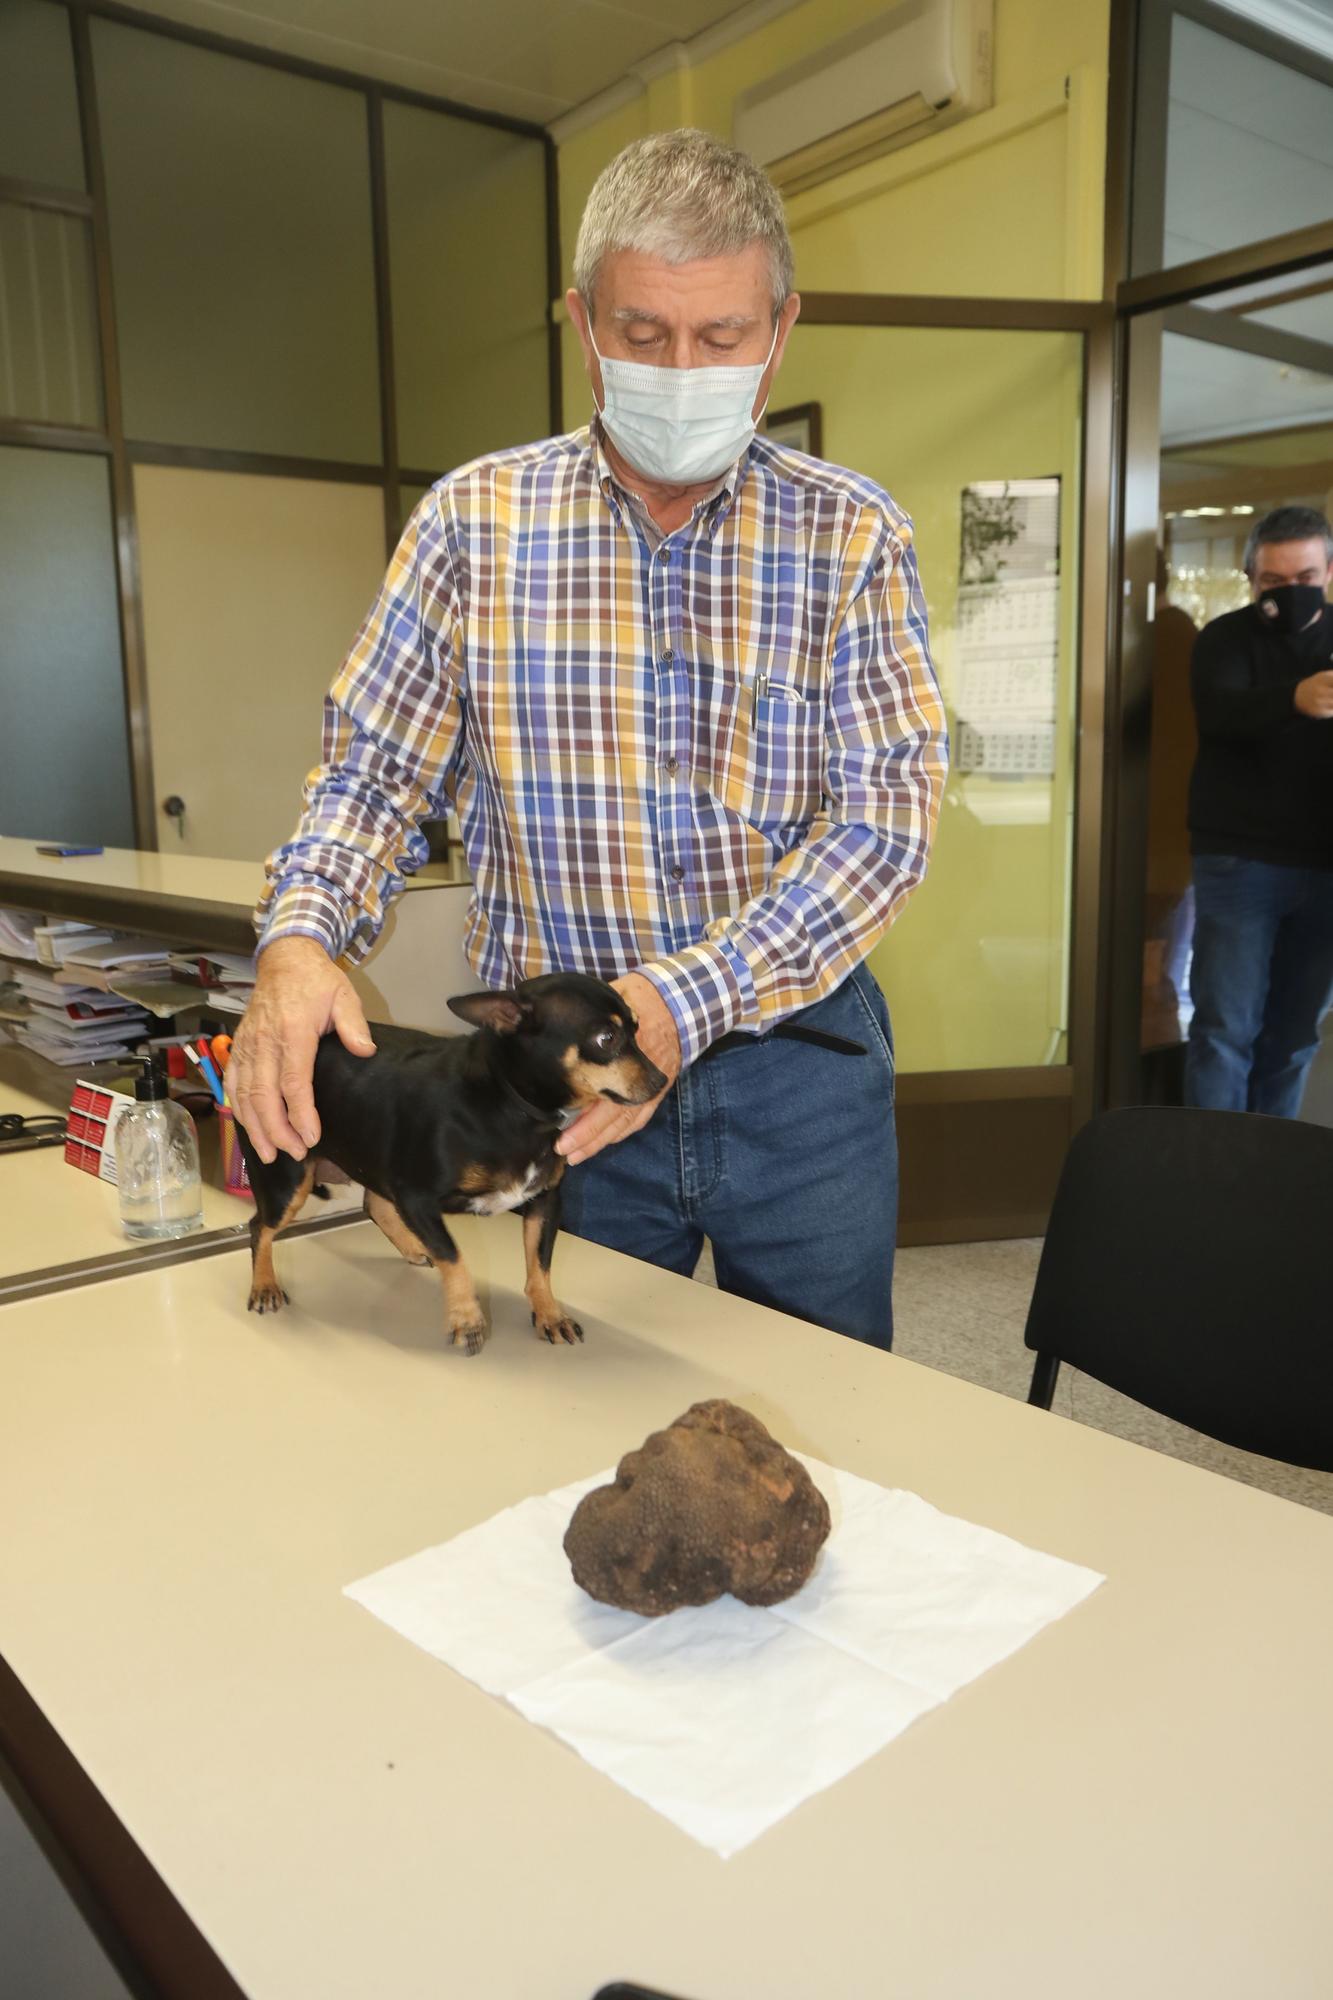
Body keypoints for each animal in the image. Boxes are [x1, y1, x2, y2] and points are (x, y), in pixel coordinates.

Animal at [233, 972, 664, 1352]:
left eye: (638, 1029)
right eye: (606, 1039)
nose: (661, 1081)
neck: (510, 1105)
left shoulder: (546, 1202)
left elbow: (539, 1267)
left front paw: (549, 1314)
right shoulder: (417, 1199)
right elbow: (454, 1257)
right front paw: (466, 1317)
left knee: (373, 1203)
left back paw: (411, 1246)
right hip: (287, 1179)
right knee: (260, 1227)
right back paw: (264, 1285)